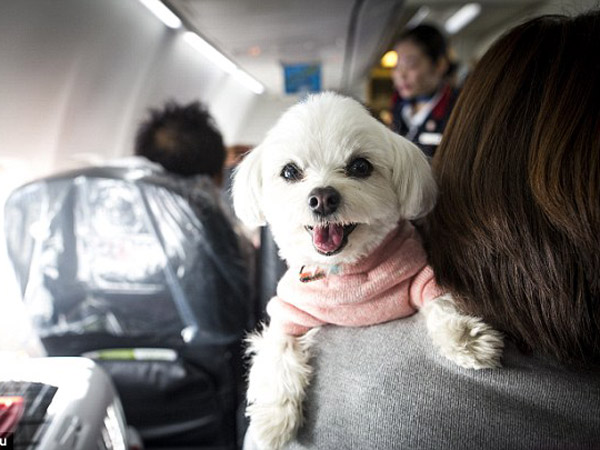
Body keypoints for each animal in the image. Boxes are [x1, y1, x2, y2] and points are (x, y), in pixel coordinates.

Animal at [232, 92, 504, 450]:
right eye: (290, 172)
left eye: (360, 166)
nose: (322, 197)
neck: (345, 271)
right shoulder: (288, 312)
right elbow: (278, 352)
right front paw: (273, 421)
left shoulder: (418, 274)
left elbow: (440, 300)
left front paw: (466, 340)